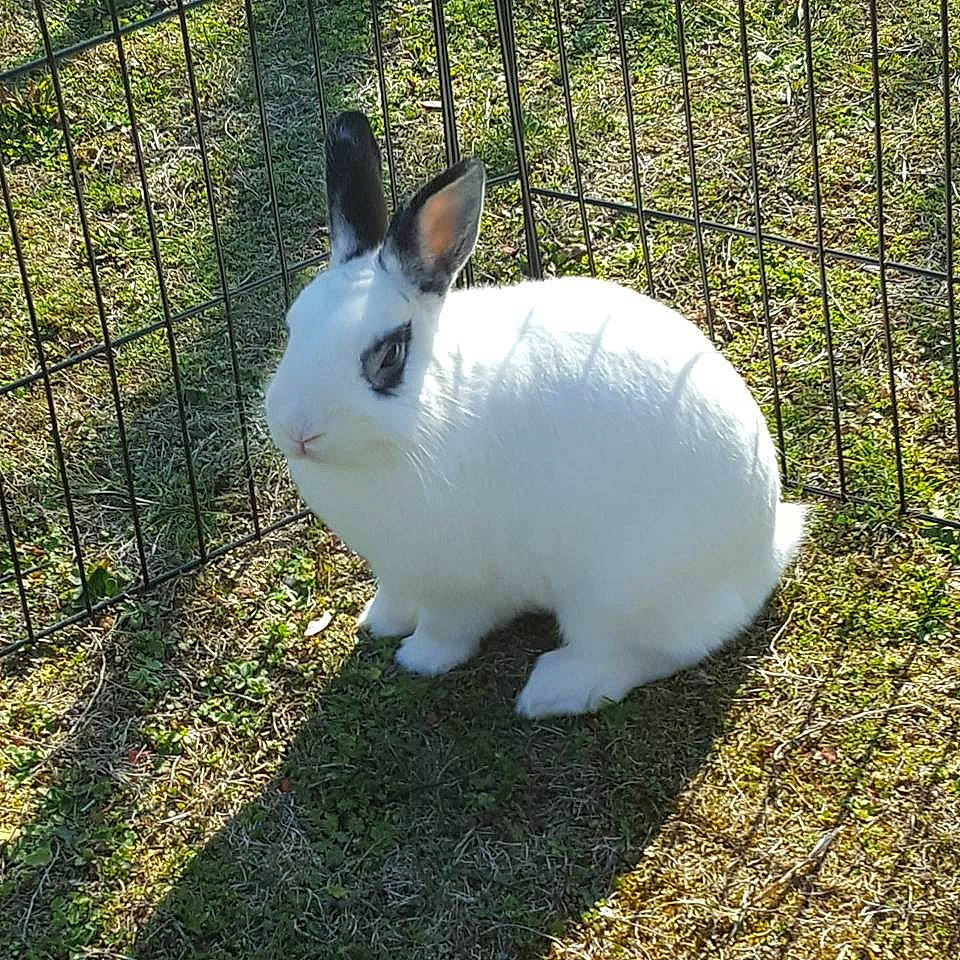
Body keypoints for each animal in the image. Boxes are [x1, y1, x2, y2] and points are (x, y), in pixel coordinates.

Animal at [265, 111, 806, 718]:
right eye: (292, 326)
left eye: (388, 355)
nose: (298, 431)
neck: (428, 413)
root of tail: (764, 550)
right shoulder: (399, 569)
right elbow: (395, 600)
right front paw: (377, 622)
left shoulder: (458, 582)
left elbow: (448, 630)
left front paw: (418, 659)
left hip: (616, 594)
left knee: (648, 653)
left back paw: (554, 688)